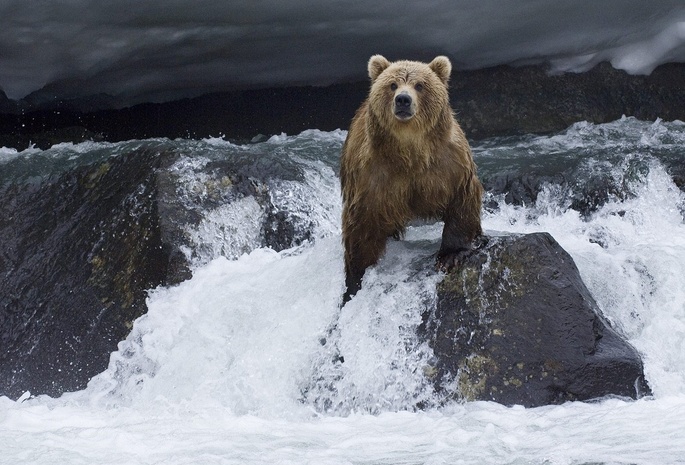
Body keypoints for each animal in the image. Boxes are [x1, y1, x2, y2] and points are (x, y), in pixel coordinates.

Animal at [340, 54, 480, 304]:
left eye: (420, 85)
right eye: (392, 84)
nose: (403, 100)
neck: (410, 151)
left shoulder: (449, 164)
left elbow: (462, 201)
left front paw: (451, 256)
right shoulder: (371, 176)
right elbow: (361, 225)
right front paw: (355, 278)